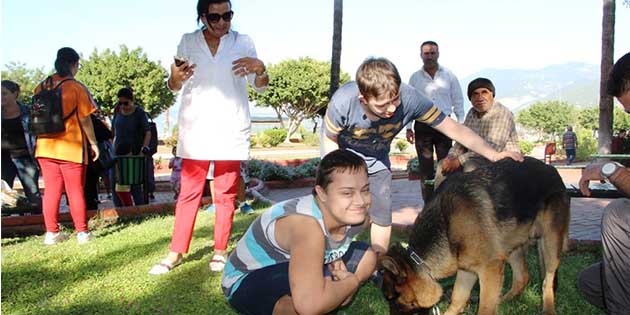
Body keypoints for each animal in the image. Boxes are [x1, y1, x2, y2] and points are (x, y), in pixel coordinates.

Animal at [380, 158, 572, 315]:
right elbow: (457, 299)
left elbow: (484, 309)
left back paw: (548, 309)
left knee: (547, 280)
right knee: (522, 278)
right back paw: (504, 300)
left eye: (393, 299)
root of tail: (552, 170)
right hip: (510, 245)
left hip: (550, 244)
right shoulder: (467, 269)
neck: (446, 225)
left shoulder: (490, 270)